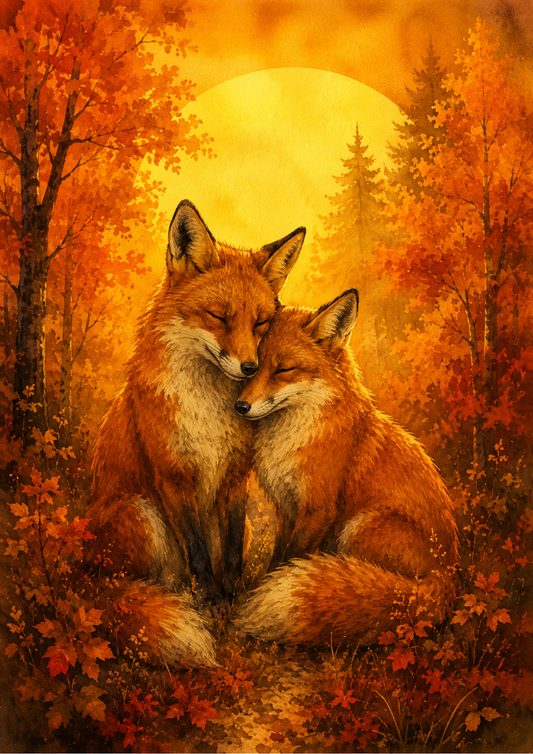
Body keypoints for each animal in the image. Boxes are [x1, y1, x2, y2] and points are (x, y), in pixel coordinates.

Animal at [85, 200, 306, 665]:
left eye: (261, 323)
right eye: (218, 316)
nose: (250, 368)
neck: (209, 412)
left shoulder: (234, 478)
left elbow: (231, 553)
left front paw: (232, 601)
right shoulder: (174, 477)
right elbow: (200, 555)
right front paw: (209, 604)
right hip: (140, 513)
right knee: (141, 584)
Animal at [234, 290, 459, 648]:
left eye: (284, 369)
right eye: (251, 368)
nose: (240, 407)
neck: (291, 439)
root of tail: (447, 581)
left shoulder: (318, 509)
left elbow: (287, 558)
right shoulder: (285, 507)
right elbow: (276, 555)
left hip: (360, 525)